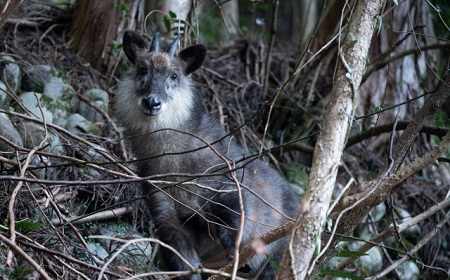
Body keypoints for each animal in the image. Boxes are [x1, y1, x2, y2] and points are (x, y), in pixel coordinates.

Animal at [114, 29, 300, 278]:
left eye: (174, 75)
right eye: (142, 69)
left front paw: (234, 253)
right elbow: (185, 265)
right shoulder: (166, 217)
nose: (152, 102)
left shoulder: (228, 190)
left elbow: (232, 226)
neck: (174, 159)